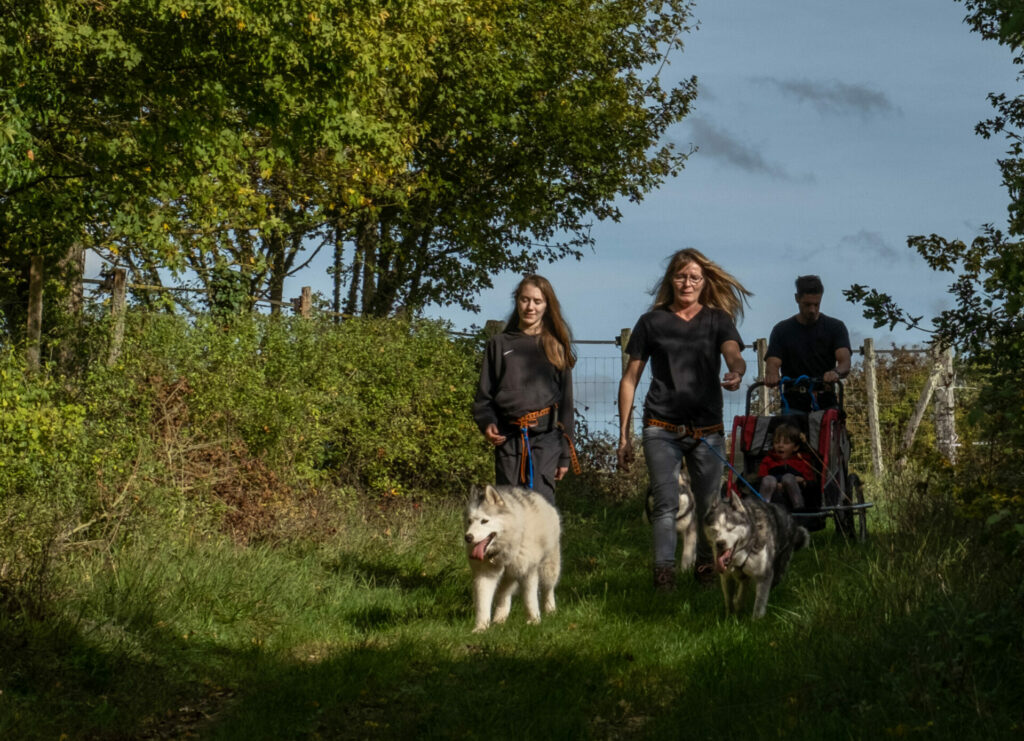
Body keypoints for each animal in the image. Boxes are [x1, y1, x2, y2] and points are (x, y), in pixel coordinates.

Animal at [462, 483, 561, 634]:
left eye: (484, 521)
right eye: (469, 521)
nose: (468, 537)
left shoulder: (528, 571)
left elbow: (530, 599)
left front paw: (534, 621)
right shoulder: (485, 575)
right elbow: (482, 604)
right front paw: (481, 627)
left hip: (547, 569)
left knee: (548, 589)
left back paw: (550, 610)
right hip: (509, 575)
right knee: (504, 594)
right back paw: (500, 618)